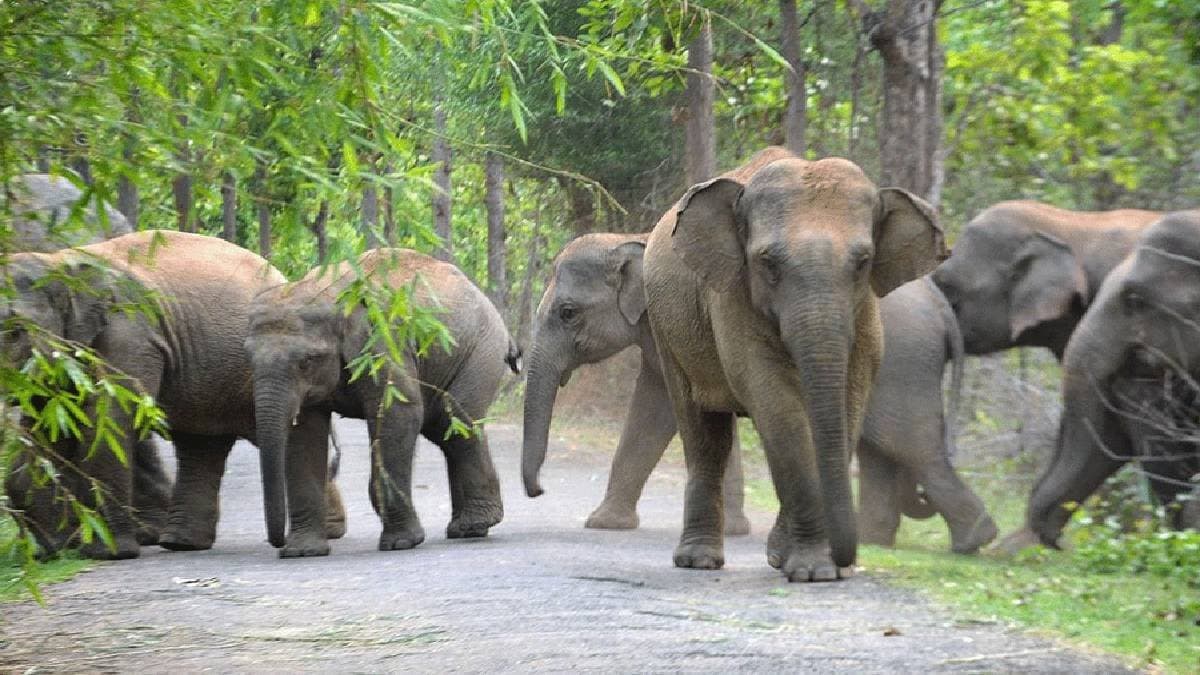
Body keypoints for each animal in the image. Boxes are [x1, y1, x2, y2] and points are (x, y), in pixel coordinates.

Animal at [2, 230, 345, 559]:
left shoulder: (130, 333)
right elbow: (50, 427)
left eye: (15, 331)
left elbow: (109, 421)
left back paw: (330, 532)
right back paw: (180, 543)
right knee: (201, 444)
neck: (58, 261)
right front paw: (53, 549)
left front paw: (109, 554)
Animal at [244, 248, 520, 558]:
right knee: (444, 431)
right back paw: (464, 529)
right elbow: (304, 433)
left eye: (306, 361)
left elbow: (399, 412)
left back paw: (474, 525)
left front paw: (400, 543)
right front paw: (302, 552)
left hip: (481, 351)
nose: (277, 543)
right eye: (248, 358)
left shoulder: (382, 342)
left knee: (456, 423)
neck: (326, 291)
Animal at [521, 232, 993, 553]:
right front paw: (607, 523)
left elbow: (668, 412)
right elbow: (671, 412)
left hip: (900, 363)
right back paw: (876, 539)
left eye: (567, 312)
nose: (539, 491)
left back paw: (973, 540)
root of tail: (940, 306)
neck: (624, 238)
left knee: (911, 445)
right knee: (882, 449)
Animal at [642, 147, 945, 582]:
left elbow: (847, 400)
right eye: (768, 262)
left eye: (863, 262)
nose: (847, 560)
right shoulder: (732, 295)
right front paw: (815, 571)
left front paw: (807, 565)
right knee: (704, 433)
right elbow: (776, 401)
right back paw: (698, 561)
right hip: (665, 326)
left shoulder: (866, 311)